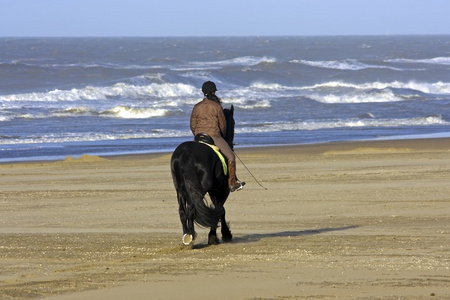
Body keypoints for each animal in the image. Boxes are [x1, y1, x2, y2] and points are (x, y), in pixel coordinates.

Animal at [171, 105, 236, 246]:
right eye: (233, 123)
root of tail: (185, 154)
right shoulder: (222, 190)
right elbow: (220, 210)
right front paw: (221, 235)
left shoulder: (213, 191)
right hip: (200, 189)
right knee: (192, 209)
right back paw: (190, 236)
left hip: (181, 190)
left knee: (183, 211)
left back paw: (186, 236)